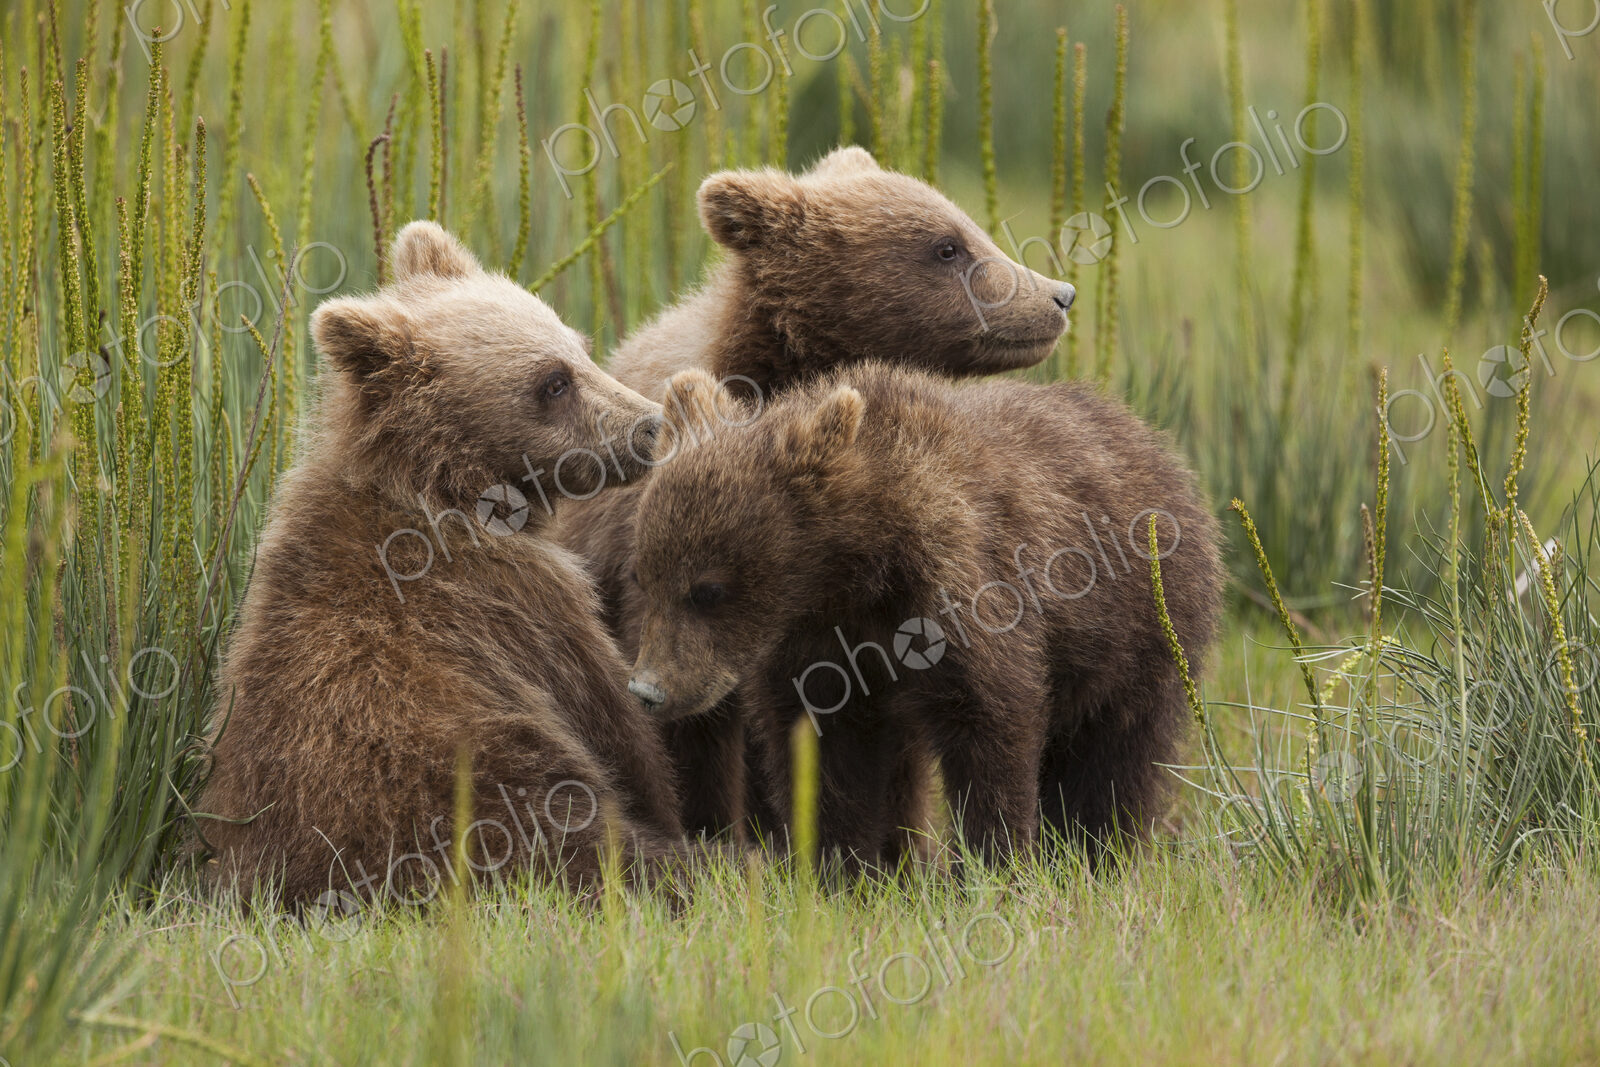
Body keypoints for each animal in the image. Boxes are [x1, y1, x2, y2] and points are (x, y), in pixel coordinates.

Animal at [198, 221, 684, 908]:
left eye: (580, 348)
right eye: (553, 381)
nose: (649, 427)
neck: (449, 488)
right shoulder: (527, 607)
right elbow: (620, 729)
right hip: (496, 792)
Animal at [624, 363, 1223, 871]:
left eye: (707, 590)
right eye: (643, 577)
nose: (648, 690)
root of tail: (1148, 439)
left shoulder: (966, 599)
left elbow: (992, 727)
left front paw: (992, 864)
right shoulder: (820, 647)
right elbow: (828, 754)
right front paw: (839, 868)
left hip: (1140, 623)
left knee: (1116, 749)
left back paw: (1094, 854)